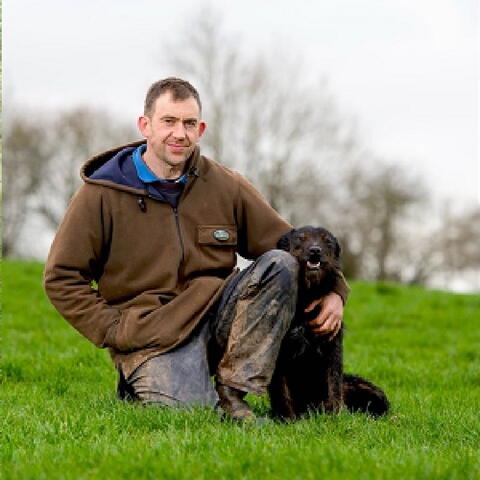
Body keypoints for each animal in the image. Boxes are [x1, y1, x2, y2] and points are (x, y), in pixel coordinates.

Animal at [268, 227, 388, 418]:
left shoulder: (333, 345)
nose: (315, 250)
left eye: (327, 241)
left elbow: (333, 382)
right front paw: (287, 418)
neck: (308, 294)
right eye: (301, 238)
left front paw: (334, 416)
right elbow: (281, 389)